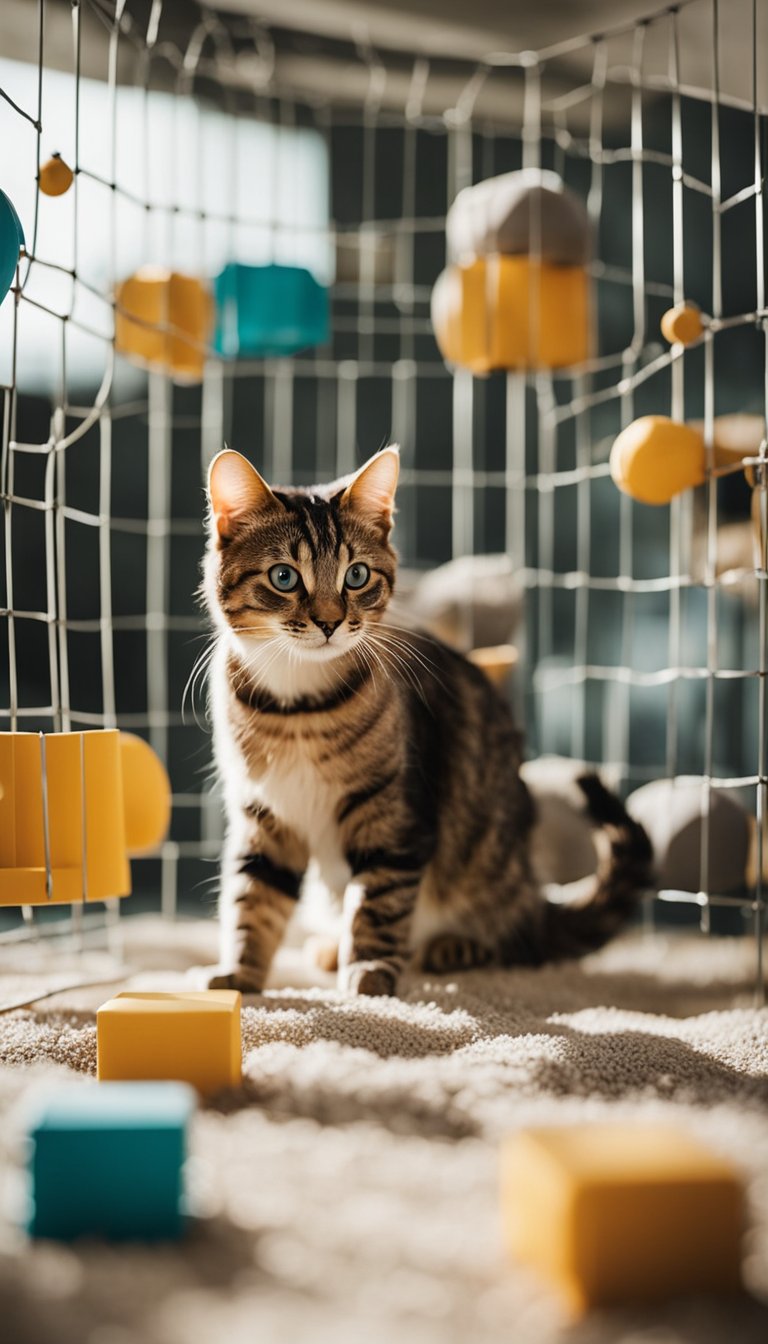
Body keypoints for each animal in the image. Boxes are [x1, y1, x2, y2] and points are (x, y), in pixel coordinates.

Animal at [201, 446, 650, 994]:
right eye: (284, 577)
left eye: (356, 575)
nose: (329, 622)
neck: (298, 707)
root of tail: (535, 894)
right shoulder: (264, 812)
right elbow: (253, 896)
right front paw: (239, 974)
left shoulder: (396, 813)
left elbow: (378, 900)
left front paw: (369, 972)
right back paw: (330, 947)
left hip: (488, 867)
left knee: (513, 939)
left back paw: (454, 948)